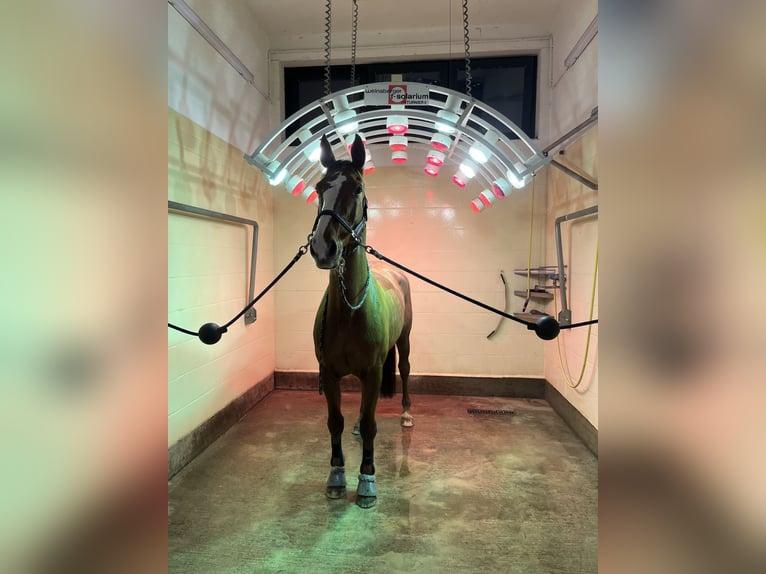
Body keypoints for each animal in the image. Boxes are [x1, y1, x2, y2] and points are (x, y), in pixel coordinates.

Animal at [309, 134, 414, 508]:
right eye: (319, 187)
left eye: (356, 188)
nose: (323, 247)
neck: (351, 309)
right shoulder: (329, 372)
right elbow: (335, 422)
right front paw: (337, 476)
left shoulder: (374, 371)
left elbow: (371, 425)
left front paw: (367, 481)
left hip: (404, 342)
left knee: (406, 370)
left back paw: (406, 414)